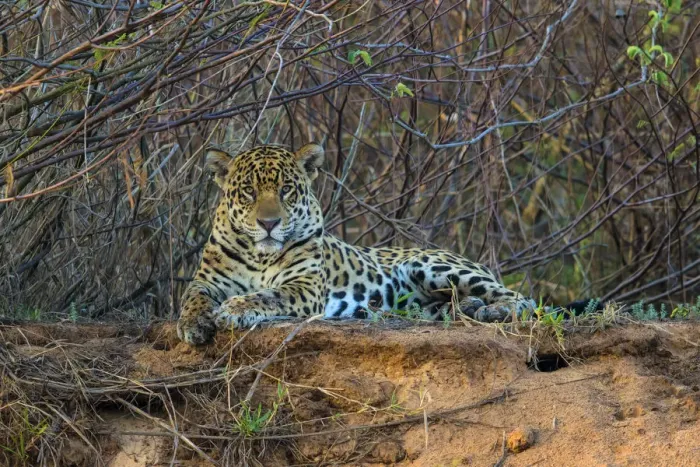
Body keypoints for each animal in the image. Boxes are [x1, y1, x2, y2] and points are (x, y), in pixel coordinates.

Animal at [177, 143, 578, 345]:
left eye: (286, 190)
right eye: (248, 191)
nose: (269, 223)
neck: (260, 256)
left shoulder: (304, 286)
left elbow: (268, 295)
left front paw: (234, 309)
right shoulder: (207, 281)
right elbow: (192, 298)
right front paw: (194, 324)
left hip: (433, 266)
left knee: (521, 299)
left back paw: (492, 311)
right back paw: (466, 308)